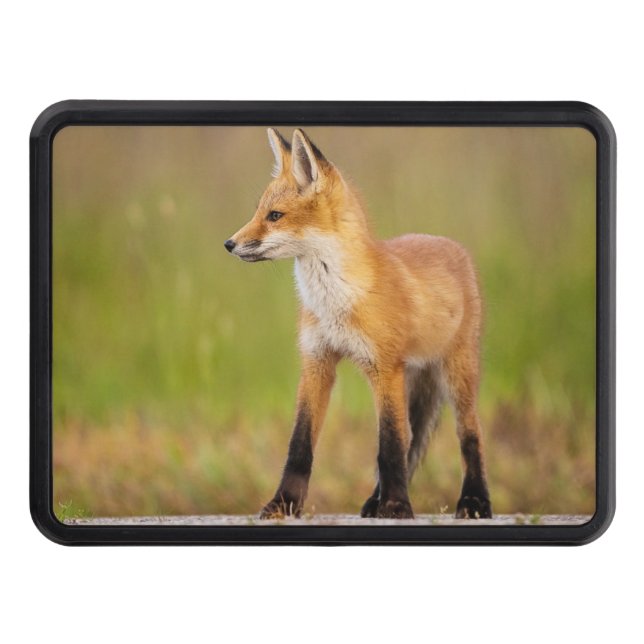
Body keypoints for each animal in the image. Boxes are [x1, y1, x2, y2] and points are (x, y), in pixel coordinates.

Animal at [224, 128, 492, 520]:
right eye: (258, 212)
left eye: (275, 215)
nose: (229, 244)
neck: (335, 301)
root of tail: (448, 243)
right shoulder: (317, 362)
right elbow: (300, 445)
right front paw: (283, 504)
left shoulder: (384, 367)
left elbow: (389, 445)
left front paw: (397, 506)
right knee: (413, 437)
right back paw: (374, 501)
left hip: (456, 374)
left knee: (469, 436)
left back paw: (474, 501)